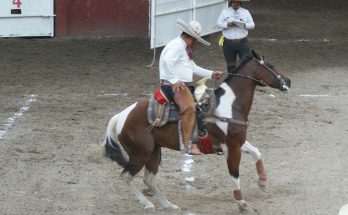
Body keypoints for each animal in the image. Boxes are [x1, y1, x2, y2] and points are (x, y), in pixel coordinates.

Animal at [103, 50, 290, 212]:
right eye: (271, 65)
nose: (288, 81)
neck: (229, 105)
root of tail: (121, 116)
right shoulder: (232, 147)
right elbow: (234, 174)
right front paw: (242, 203)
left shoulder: (237, 142)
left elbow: (257, 152)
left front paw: (263, 182)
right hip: (140, 154)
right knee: (126, 176)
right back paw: (148, 204)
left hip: (154, 151)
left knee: (149, 178)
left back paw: (169, 205)